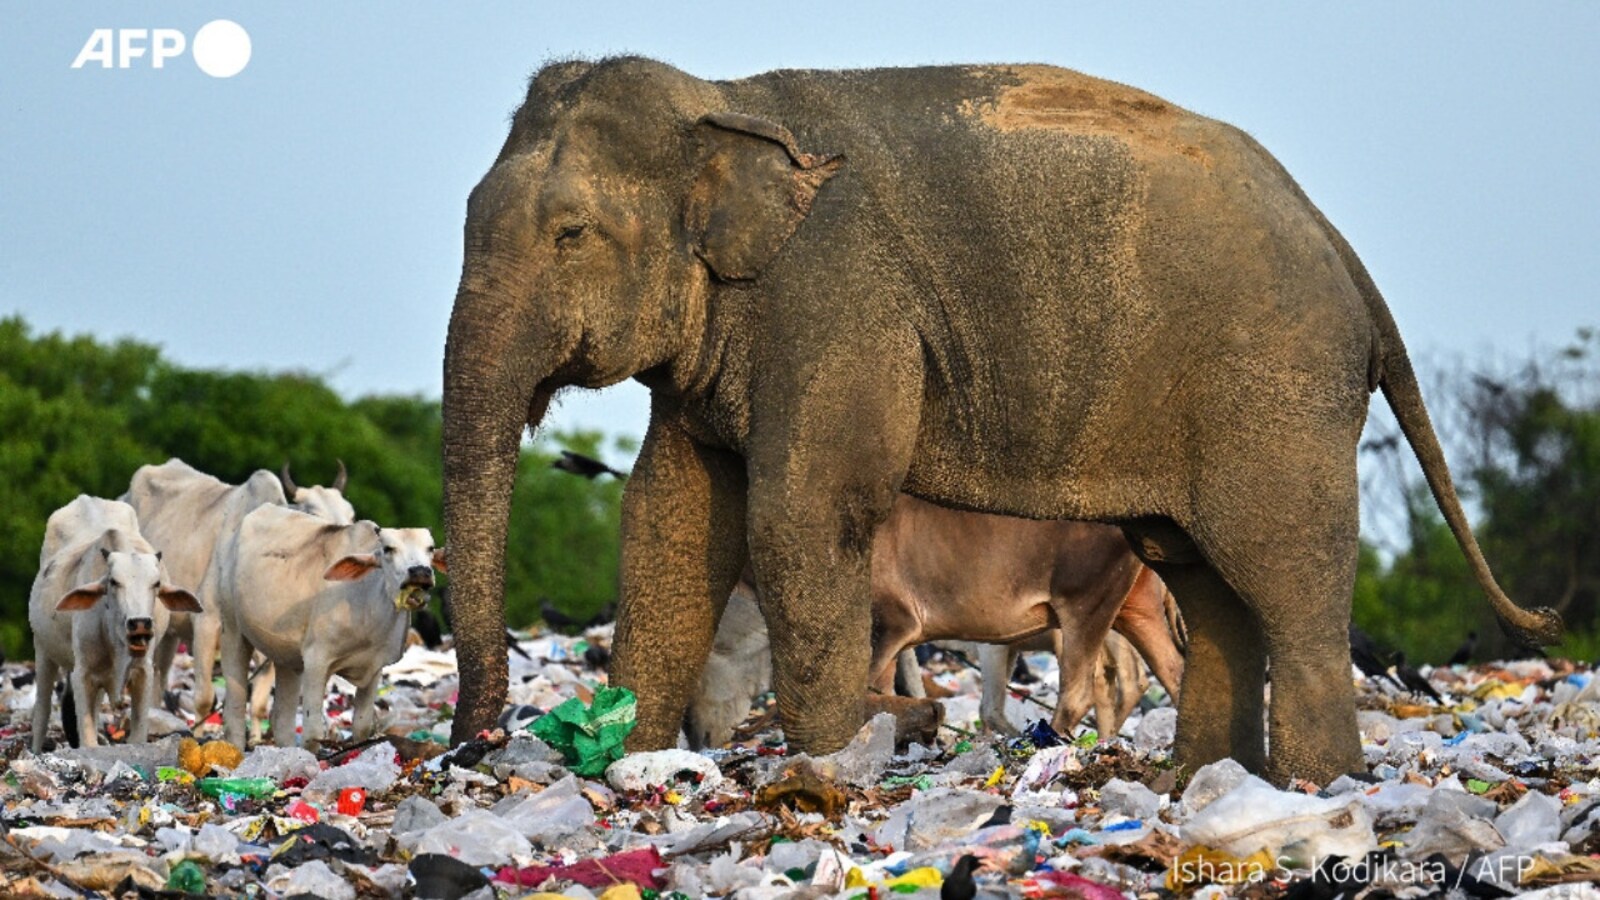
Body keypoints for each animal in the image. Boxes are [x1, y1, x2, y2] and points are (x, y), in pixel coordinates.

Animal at [29, 493, 200, 752]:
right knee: (42, 710)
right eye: (113, 582)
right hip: (43, 649)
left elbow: (138, 733)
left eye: (156, 583)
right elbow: (87, 736)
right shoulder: (83, 674)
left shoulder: (143, 672)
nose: (140, 623)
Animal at [123, 458, 355, 717]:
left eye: (351, 516)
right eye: (314, 513)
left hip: (171, 631)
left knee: (160, 673)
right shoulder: (206, 622)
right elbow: (204, 699)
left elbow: (259, 705)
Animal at [219, 509, 444, 746]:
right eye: (388, 549)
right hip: (232, 631)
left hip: (285, 657)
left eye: (430, 548)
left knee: (281, 719)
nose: (420, 572)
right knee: (234, 710)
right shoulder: (317, 660)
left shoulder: (374, 668)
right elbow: (313, 732)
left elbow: (362, 727)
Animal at [441, 56, 1561, 781]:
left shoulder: (839, 298)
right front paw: (630, 762)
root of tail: (1344, 251)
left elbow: (801, 515)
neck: (727, 102)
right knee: (1202, 575)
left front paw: (826, 769)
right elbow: (668, 519)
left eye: (571, 233)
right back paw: (1201, 785)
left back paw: (1312, 790)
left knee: (1281, 574)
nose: (472, 751)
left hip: (1275, 387)